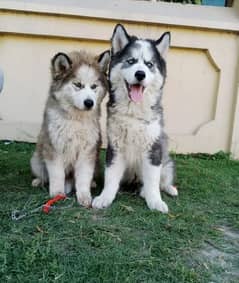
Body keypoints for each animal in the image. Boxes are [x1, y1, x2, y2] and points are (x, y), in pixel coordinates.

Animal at [30, 50, 110, 206]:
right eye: (78, 85)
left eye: (94, 86)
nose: (89, 103)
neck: (76, 120)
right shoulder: (54, 148)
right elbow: (57, 174)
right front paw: (57, 192)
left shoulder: (87, 152)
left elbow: (84, 176)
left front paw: (84, 195)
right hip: (36, 160)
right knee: (43, 174)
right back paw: (38, 181)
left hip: (97, 163)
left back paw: (92, 184)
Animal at [93, 24, 177, 214]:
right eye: (131, 61)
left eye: (149, 64)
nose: (140, 74)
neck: (133, 112)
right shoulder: (115, 148)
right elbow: (111, 178)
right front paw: (105, 197)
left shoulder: (153, 149)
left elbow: (153, 181)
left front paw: (155, 201)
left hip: (166, 162)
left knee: (163, 180)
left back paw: (168, 189)